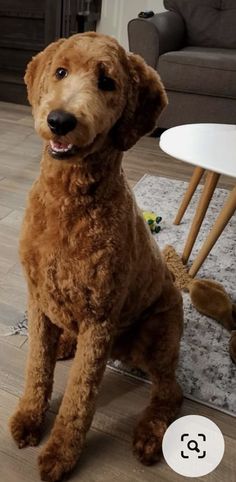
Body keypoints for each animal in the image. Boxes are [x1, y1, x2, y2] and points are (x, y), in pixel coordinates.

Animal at [8, 32, 183, 480]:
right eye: (60, 71)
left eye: (107, 82)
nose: (59, 121)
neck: (68, 200)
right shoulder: (38, 299)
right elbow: (36, 367)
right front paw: (29, 416)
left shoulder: (98, 320)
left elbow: (79, 398)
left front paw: (60, 454)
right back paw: (63, 343)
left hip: (153, 336)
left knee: (171, 390)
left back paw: (149, 436)